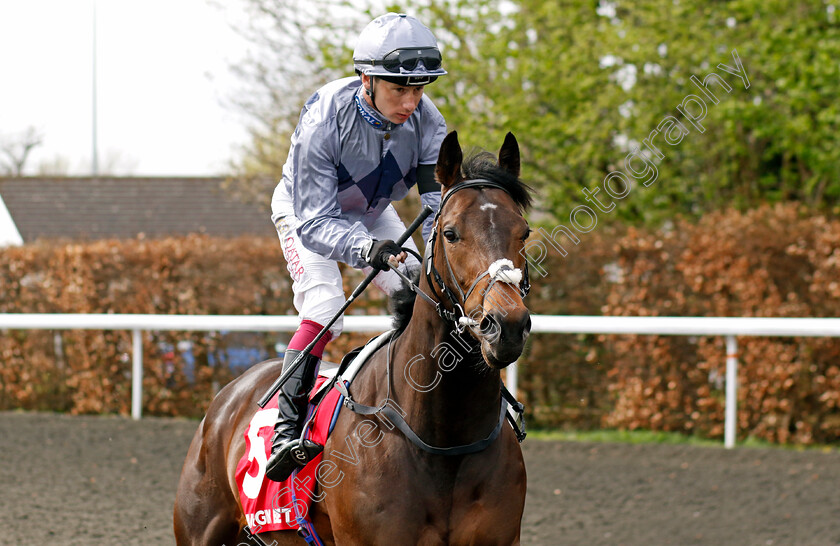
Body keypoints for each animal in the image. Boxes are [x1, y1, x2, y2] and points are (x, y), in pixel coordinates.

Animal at [174, 130, 536, 540]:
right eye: (451, 233)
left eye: (524, 232)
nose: (506, 325)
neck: (446, 439)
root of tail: (233, 391)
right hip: (199, 526)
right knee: (320, 312)